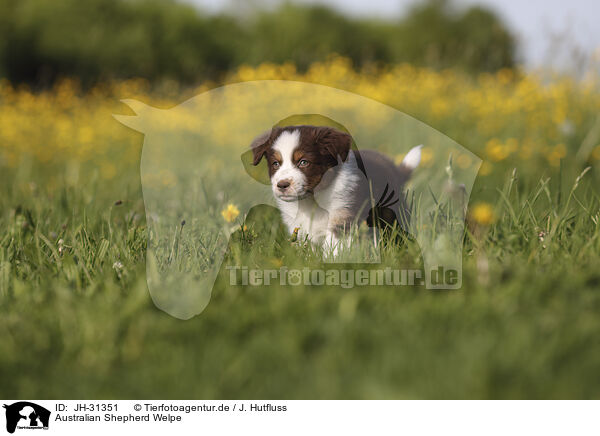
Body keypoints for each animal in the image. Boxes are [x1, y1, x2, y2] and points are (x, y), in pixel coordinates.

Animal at [251, 124, 420, 254]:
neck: (312, 200)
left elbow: (334, 246)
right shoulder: (298, 225)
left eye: (304, 162)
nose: (282, 185)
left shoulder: (343, 214)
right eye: (275, 164)